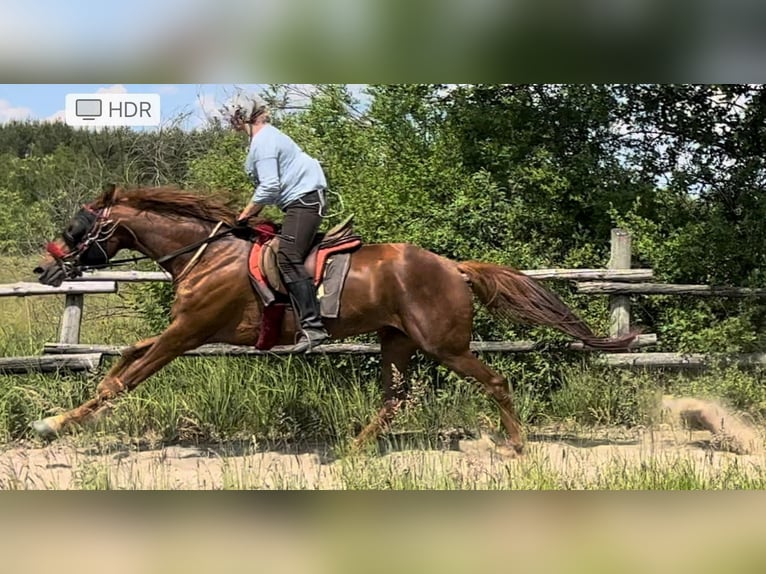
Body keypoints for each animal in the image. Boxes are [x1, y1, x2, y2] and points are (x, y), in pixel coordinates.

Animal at [33, 184, 640, 454]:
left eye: (76, 227)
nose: (44, 268)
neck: (206, 253)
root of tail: (453, 266)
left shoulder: (189, 332)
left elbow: (124, 379)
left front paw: (53, 425)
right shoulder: (181, 331)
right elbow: (126, 360)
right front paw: (62, 418)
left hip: (443, 344)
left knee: (495, 380)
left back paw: (515, 445)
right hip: (396, 340)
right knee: (395, 400)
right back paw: (352, 448)